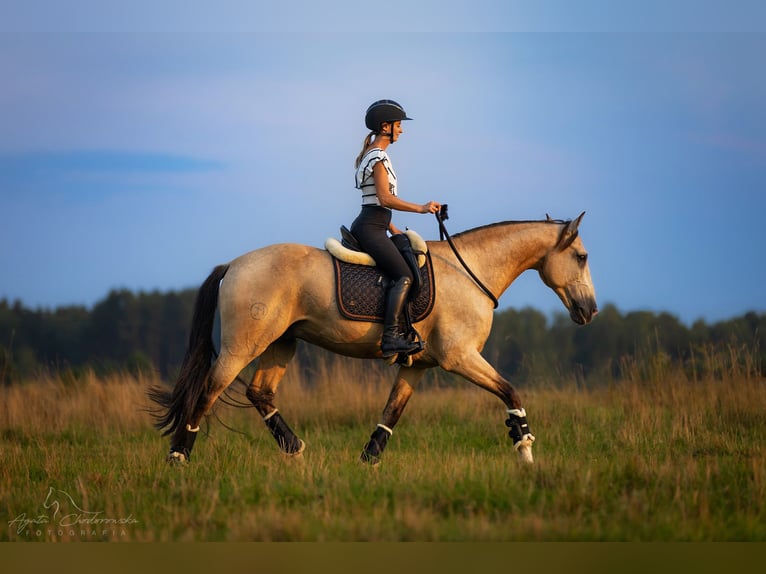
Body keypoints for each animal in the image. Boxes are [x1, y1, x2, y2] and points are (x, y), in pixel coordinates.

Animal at [147, 212, 596, 468]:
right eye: (582, 257)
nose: (589, 310)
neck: (469, 272)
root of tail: (234, 265)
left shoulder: (420, 366)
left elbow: (391, 413)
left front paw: (368, 460)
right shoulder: (461, 358)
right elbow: (511, 392)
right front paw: (525, 451)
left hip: (281, 344)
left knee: (260, 393)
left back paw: (294, 449)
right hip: (243, 347)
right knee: (207, 392)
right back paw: (178, 458)